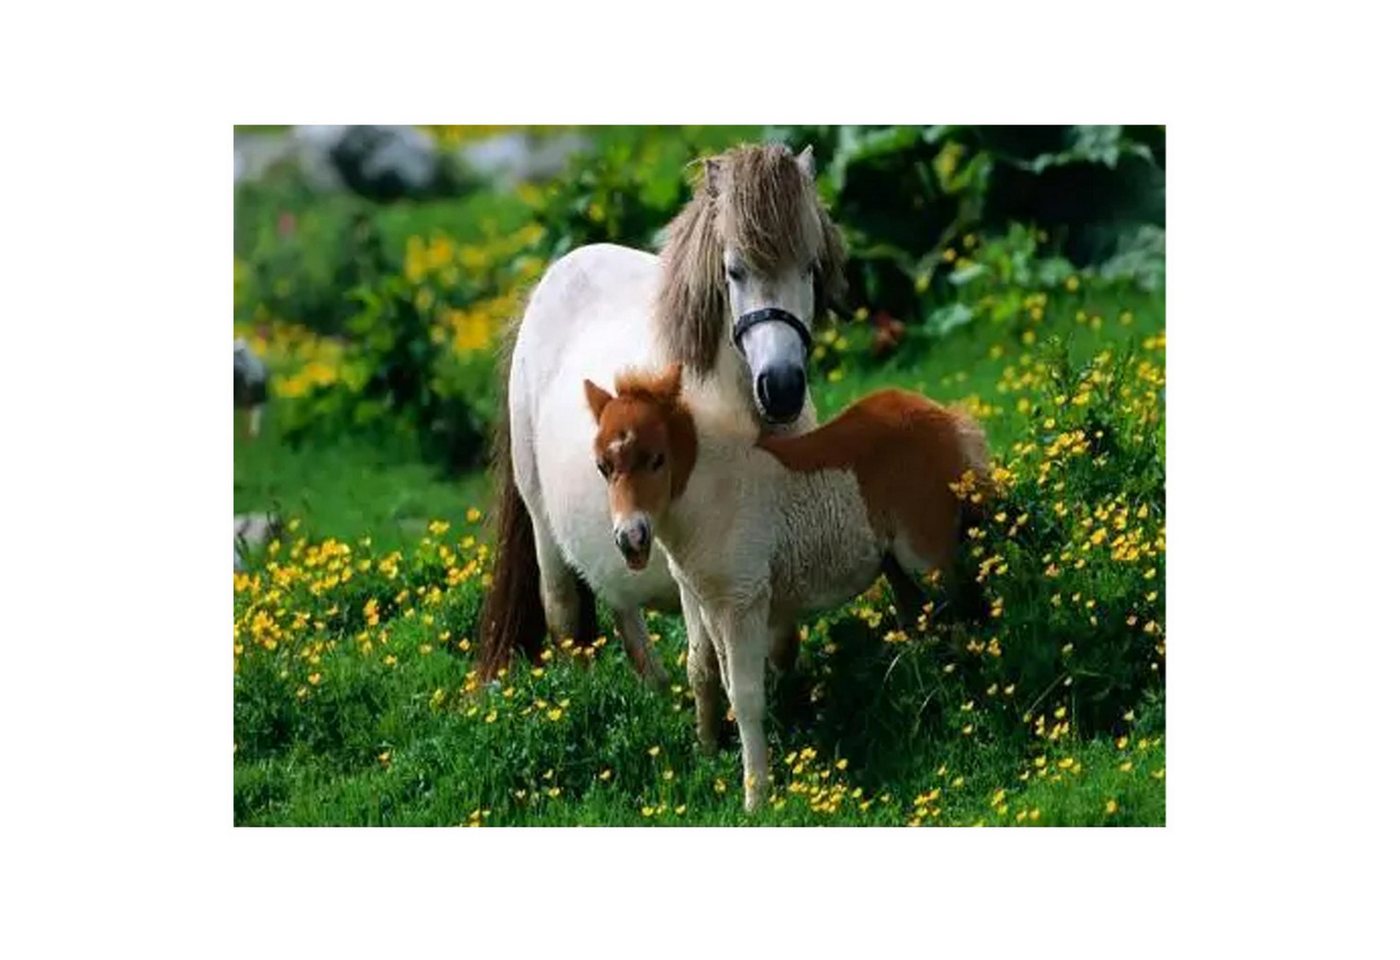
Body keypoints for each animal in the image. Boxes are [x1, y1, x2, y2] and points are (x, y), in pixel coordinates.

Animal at [475, 143, 848, 684]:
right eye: (734, 270)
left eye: (810, 267)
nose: (780, 388)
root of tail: (550, 280)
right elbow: (708, 662)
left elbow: (780, 643)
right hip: (545, 528)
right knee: (564, 611)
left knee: (621, 607)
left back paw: (655, 688)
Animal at [584, 363, 990, 811]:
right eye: (603, 466)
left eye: (657, 459)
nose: (631, 539)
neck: (712, 500)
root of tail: (946, 416)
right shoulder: (711, 605)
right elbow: (719, 680)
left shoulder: (744, 603)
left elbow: (746, 697)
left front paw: (756, 797)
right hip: (896, 564)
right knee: (922, 617)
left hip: (926, 554)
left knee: (962, 609)